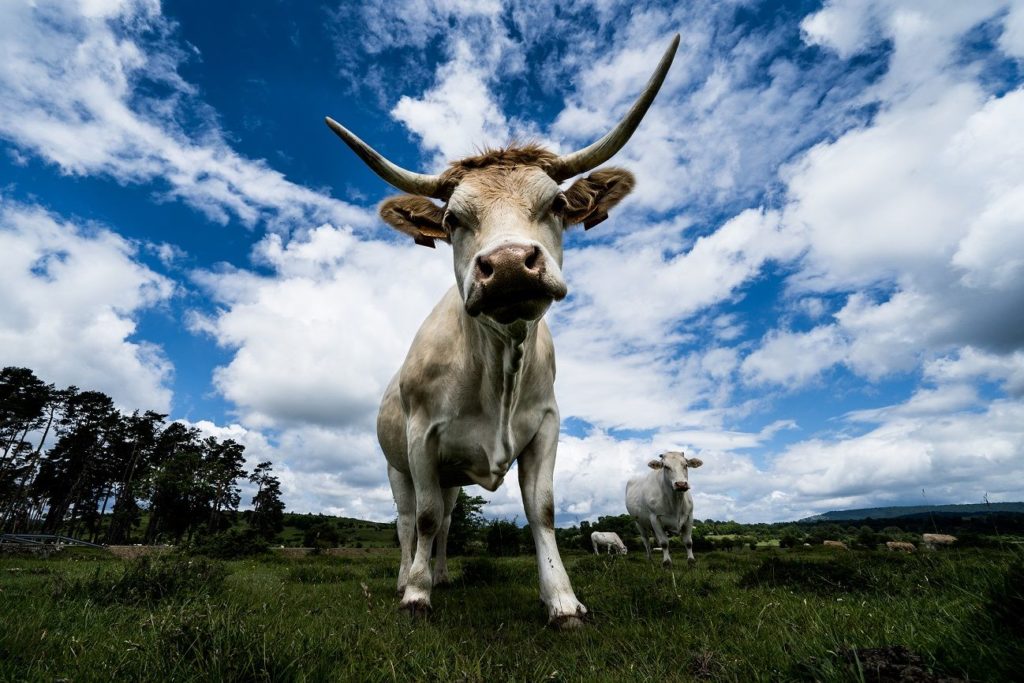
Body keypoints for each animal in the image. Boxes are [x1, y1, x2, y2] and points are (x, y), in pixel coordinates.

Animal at [325, 34, 679, 626]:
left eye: (557, 204)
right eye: (450, 220)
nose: (511, 263)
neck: (496, 365)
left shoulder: (545, 428)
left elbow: (542, 510)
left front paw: (562, 600)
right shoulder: (421, 440)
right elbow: (422, 519)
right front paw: (415, 595)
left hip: (449, 477)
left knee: (446, 519)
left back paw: (442, 573)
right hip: (399, 466)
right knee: (409, 520)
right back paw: (408, 576)